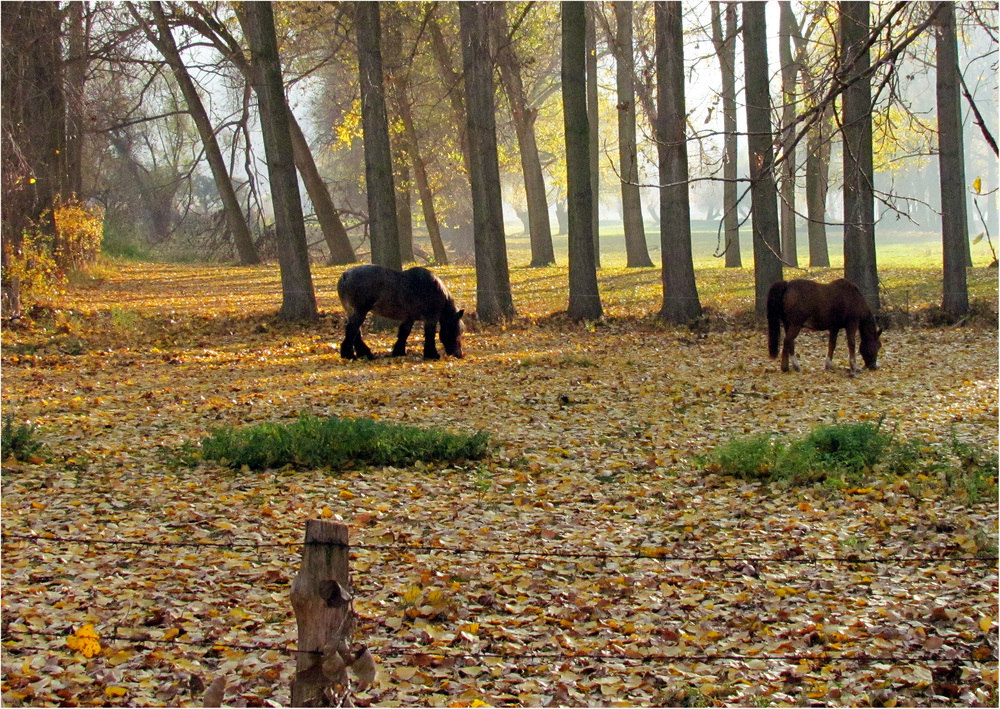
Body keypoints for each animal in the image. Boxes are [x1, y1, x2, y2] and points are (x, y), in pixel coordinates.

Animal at [334, 264, 462, 360]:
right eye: (456, 330)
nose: (459, 354)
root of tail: (345, 275)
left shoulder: (409, 318)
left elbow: (404, 333)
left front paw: (398, 352)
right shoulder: (431, 318)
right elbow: (429, 335)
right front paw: (432, 354)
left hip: (353, 311)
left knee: (355, 331)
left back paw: (364, 353)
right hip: (360, 312)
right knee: (352, 330)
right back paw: (349, 354)